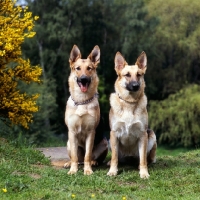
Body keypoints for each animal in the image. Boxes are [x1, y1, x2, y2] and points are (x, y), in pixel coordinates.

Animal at [64, 44, 108, 174]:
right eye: (77, 68)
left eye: (89, 68)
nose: (83, 79)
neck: (82, 101)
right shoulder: (72, 132)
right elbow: (74, 156)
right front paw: (73, 170)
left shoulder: (90, 132)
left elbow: (87, 155)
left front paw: (88, 171)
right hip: (69, 143)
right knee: (77, 158)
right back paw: (70, 163)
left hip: (104, 143)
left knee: (90, 158)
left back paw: (93, 162)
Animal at [107, 50, 157, 179]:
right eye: (127, 75)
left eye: (139, 75)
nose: (135, 86)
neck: (129, 102)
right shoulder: (114, 133)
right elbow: (114, 158)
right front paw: (113, 171)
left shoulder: (143, 134)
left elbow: (143, 159)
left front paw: (144, 173)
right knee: (117, 157)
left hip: (151, 135)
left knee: (145, 159)